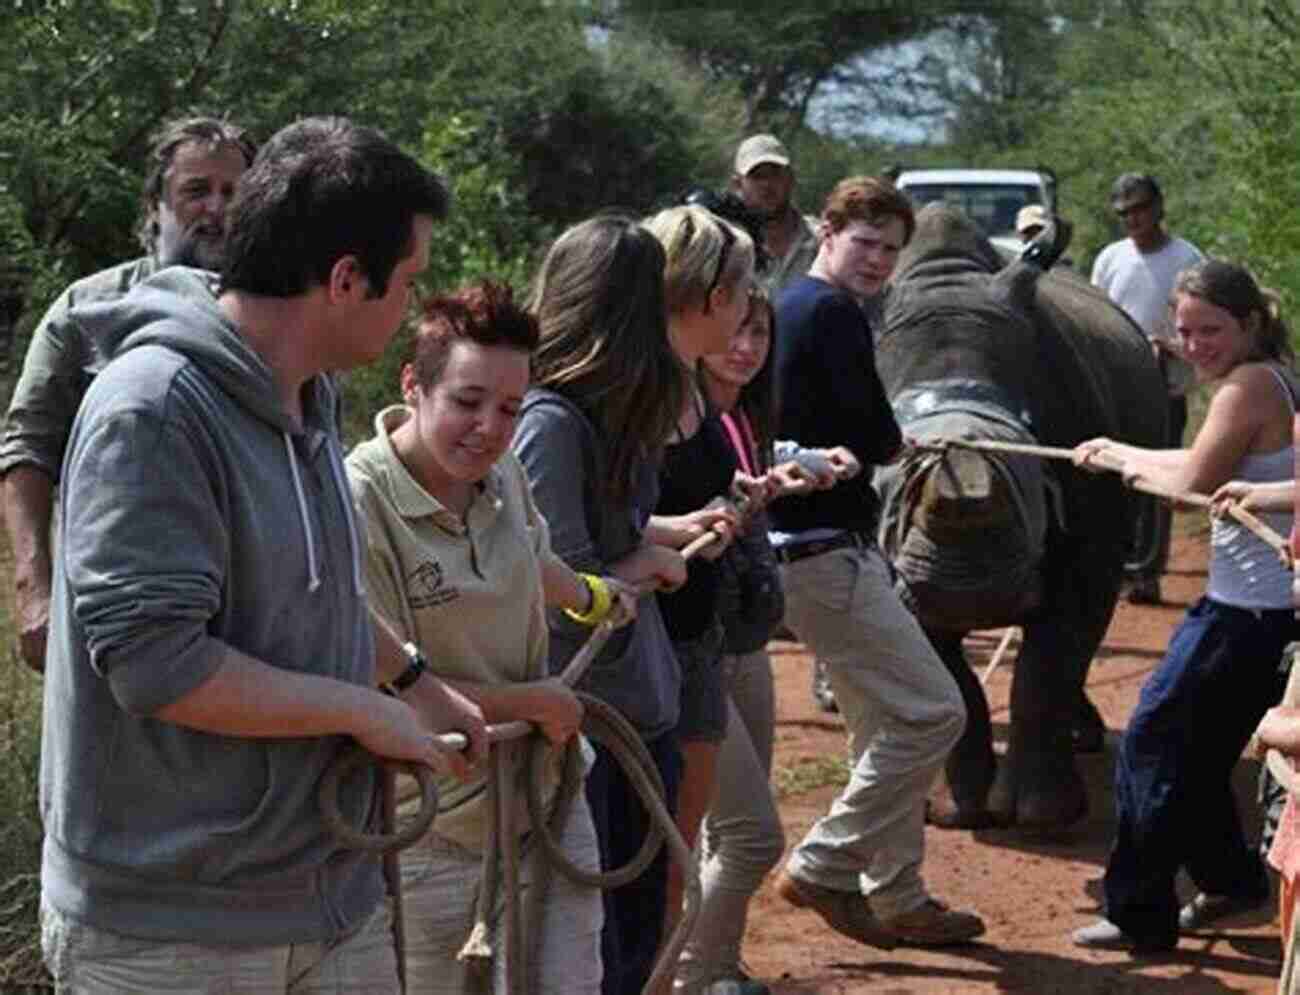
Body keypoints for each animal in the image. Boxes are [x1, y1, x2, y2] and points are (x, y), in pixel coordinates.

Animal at [873, 204, 1170, 832]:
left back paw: (1082, 739)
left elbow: (1049, 663)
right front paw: (953, 813)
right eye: (893, 484)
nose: (968, 588)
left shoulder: (1092, 546)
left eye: (1034, 464)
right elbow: (949, 676)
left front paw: (1045, 814)